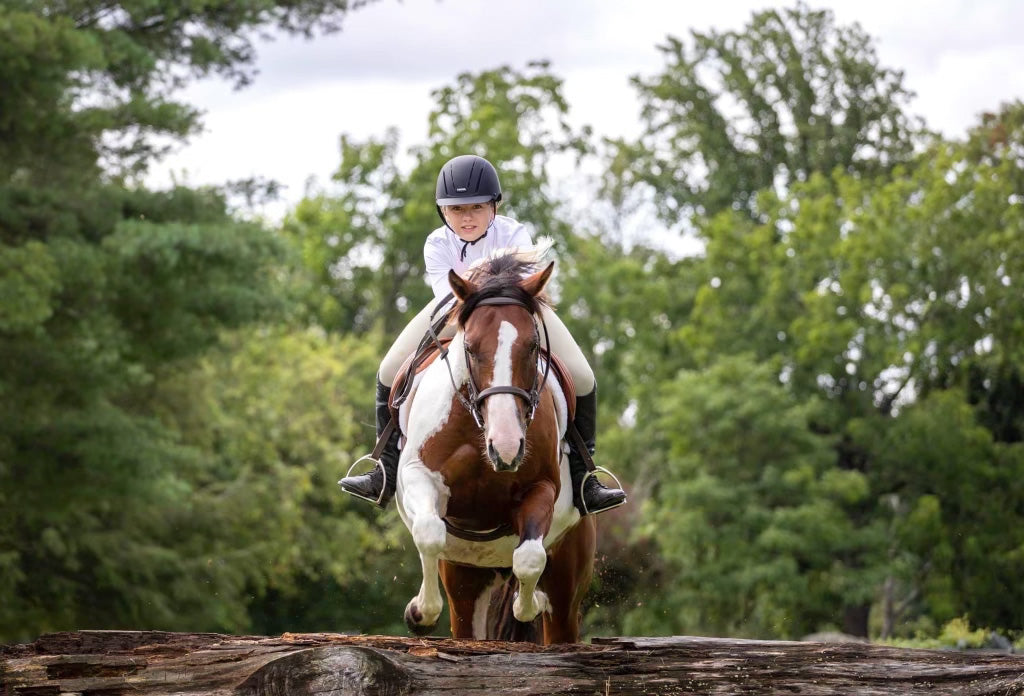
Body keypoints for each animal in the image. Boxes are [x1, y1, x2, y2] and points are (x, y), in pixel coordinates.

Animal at [393, 252, 598, 642]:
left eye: (532, 346)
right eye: (470, 348)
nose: (505, 447)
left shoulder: (542, 488)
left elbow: (530, 558)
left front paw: (527, 605)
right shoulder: (418, 476)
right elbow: (429, 531)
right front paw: (419, 612)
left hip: (568, 579)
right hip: (466, 580)